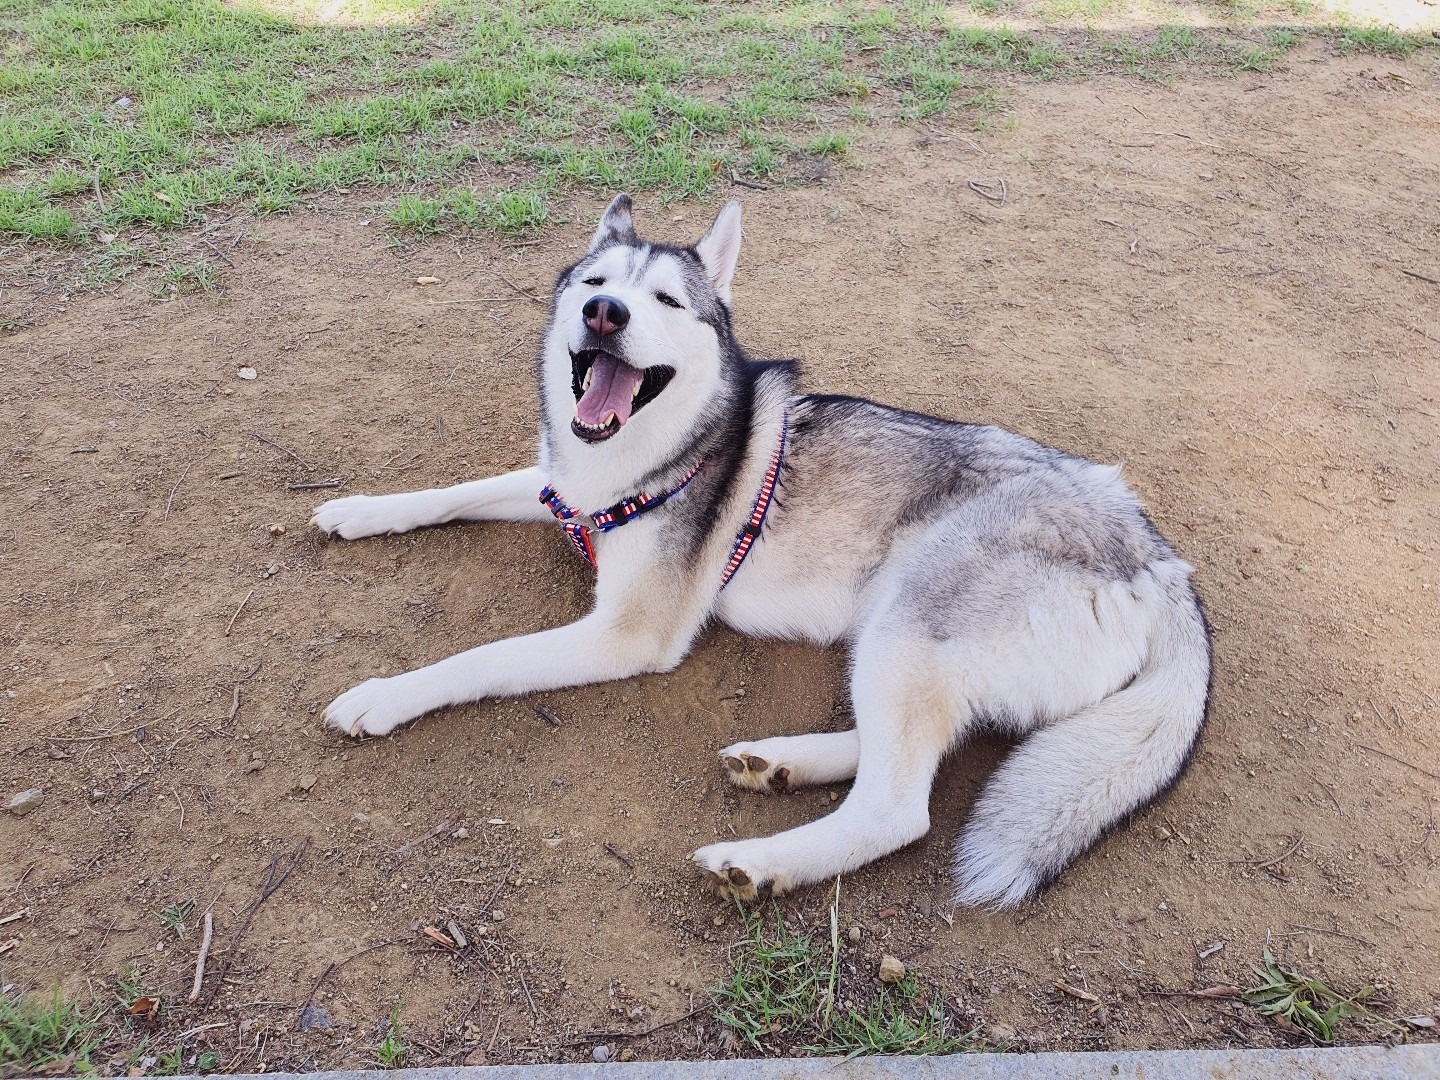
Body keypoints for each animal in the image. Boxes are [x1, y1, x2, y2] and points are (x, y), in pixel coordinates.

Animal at [315, 197, 1215, 915]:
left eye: (665, 299)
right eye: (593, 282)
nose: (605, 313)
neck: (650, 455)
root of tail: (1161, 564)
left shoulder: (629, 633)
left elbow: (481, 657)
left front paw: (384, 697)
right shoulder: (560, 489)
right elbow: (458, 490)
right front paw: (361, 510)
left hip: (912, 618)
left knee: (898, 808)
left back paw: (760, 862)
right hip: (896, 633)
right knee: (925, 744)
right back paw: (779, 762)